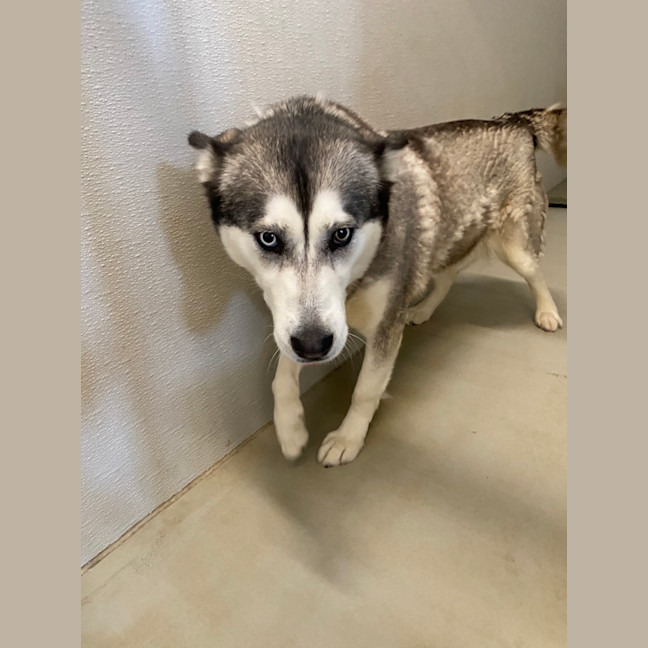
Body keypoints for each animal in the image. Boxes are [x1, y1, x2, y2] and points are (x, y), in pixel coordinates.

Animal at [188, 95, 566, 467]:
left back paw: (547, 313)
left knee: (534, 273)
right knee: (447, 273)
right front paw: (290, 429)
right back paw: (422, 309)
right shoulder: (295, 324)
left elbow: (365, 390)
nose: (314, 347)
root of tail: (512, 121)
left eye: (341, 234)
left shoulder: (383, 327)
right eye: (268, 239)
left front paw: (347, 438)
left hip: (513, 246)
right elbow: (281, 376)